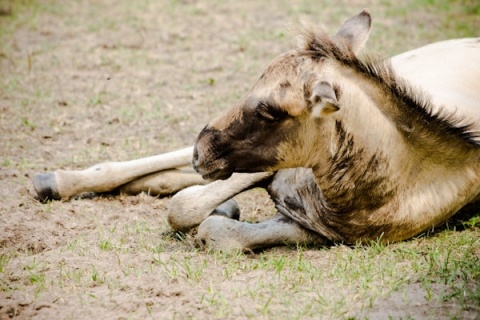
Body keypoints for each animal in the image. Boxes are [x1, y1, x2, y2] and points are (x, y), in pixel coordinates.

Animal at [34, 9, 480, 250]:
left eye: (269, 111)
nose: (201, 150)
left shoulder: (317, 230)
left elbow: (211, 226)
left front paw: (223, 211)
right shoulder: (268, 167)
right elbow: (186, 207)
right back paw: (54, 180)